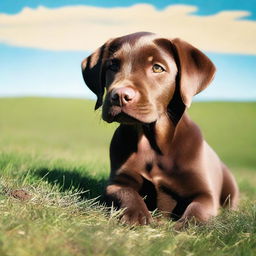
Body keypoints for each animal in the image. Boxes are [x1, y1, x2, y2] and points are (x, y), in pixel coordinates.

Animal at [81, 31, 239, 226]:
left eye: (157, 68)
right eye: (112, 65)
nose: (119, 96)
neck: (152, 143)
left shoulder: (205, 194)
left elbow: (197, 210)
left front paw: (185, 226)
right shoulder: (117, 182)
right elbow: (127, 194)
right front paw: (136, 215)